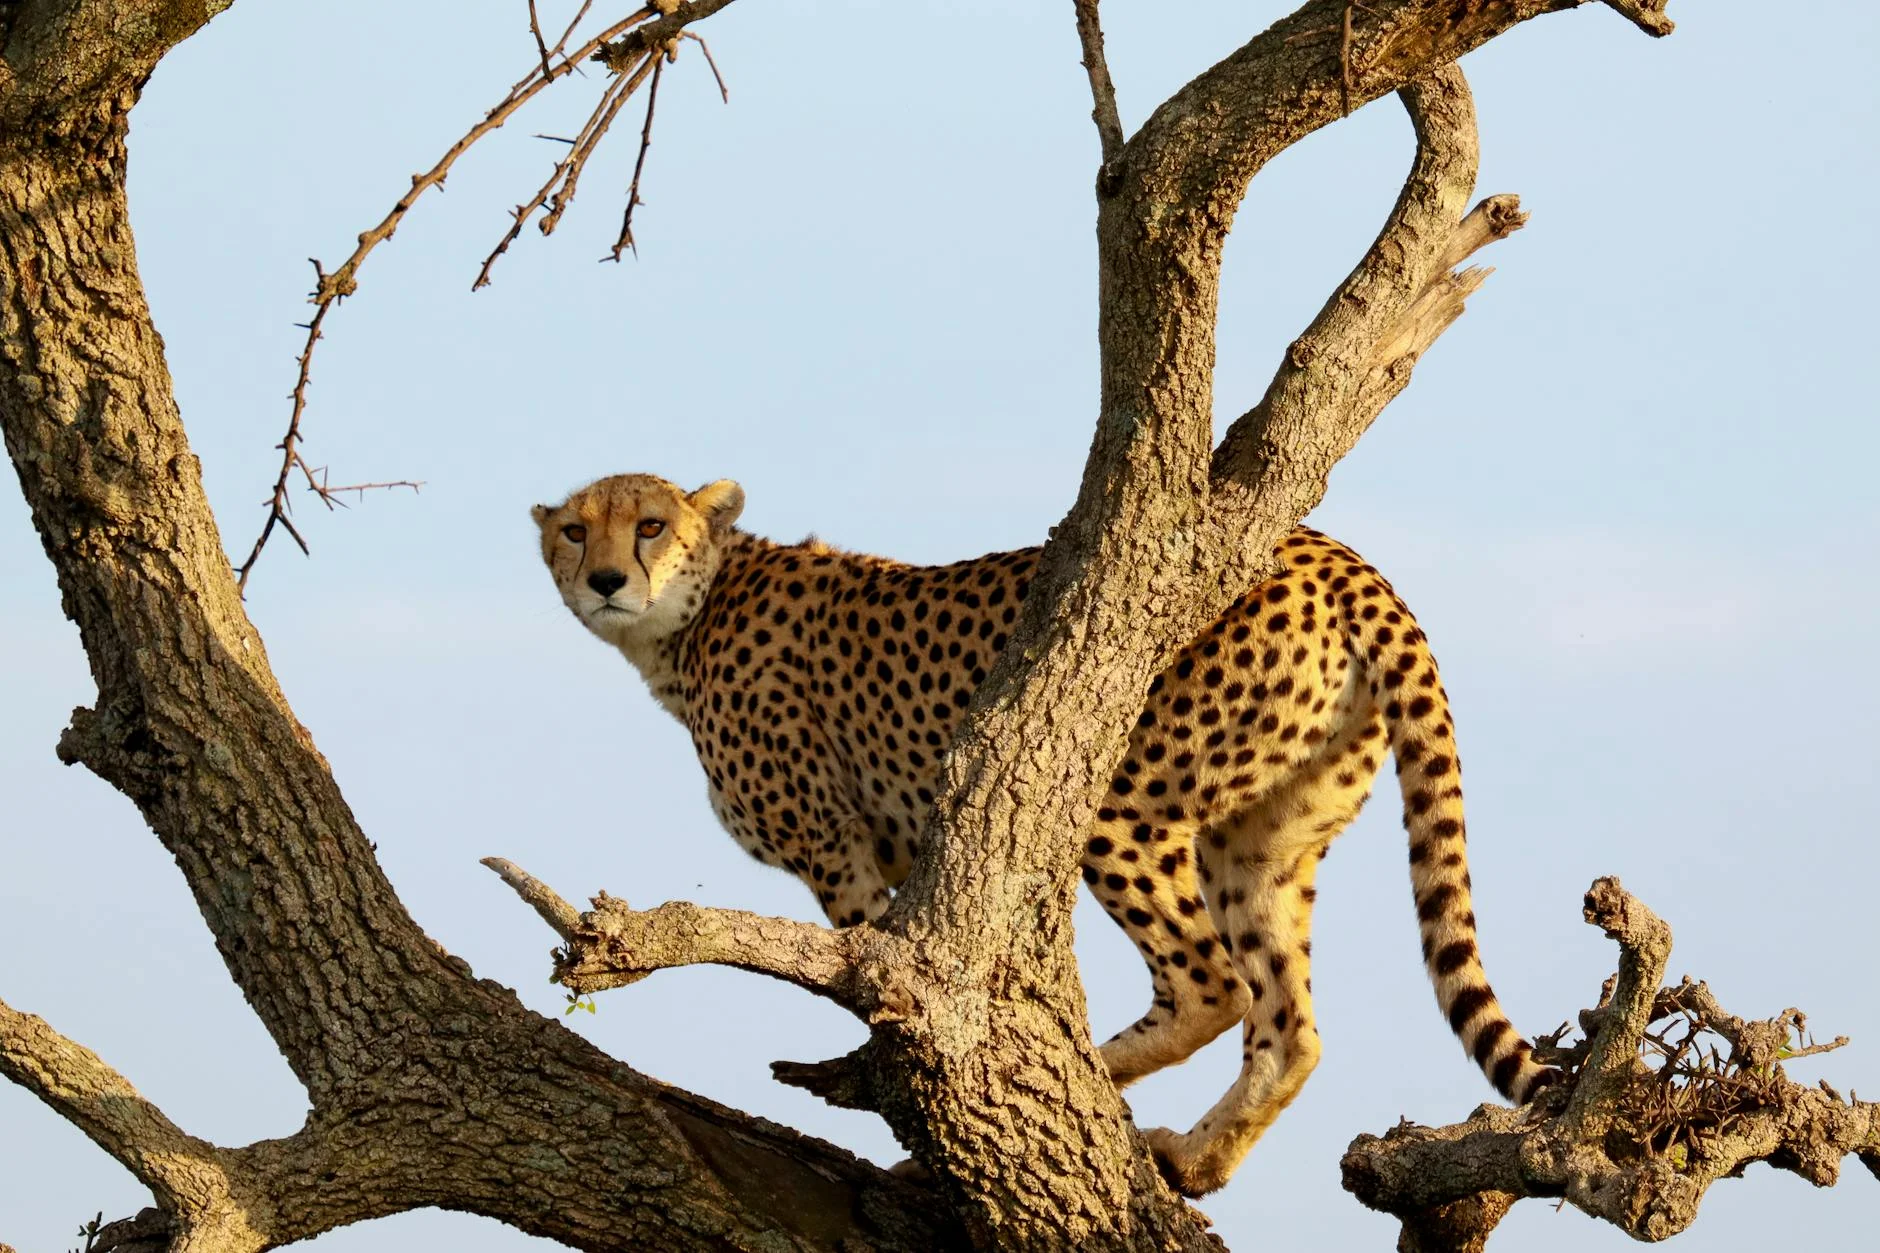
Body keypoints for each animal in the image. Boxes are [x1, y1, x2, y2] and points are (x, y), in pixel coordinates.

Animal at [531, 471, 1558, 1196]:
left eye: (651, 524)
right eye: (575, 530)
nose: (608, 578)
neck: (693, 615)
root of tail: (1339, 556)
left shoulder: (841, 847)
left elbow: (875, 965)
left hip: (1111, 795)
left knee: (1212, 982)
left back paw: (1090, 1080)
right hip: (1262, 840)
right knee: (1289, 1022)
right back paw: (1196, 1156)